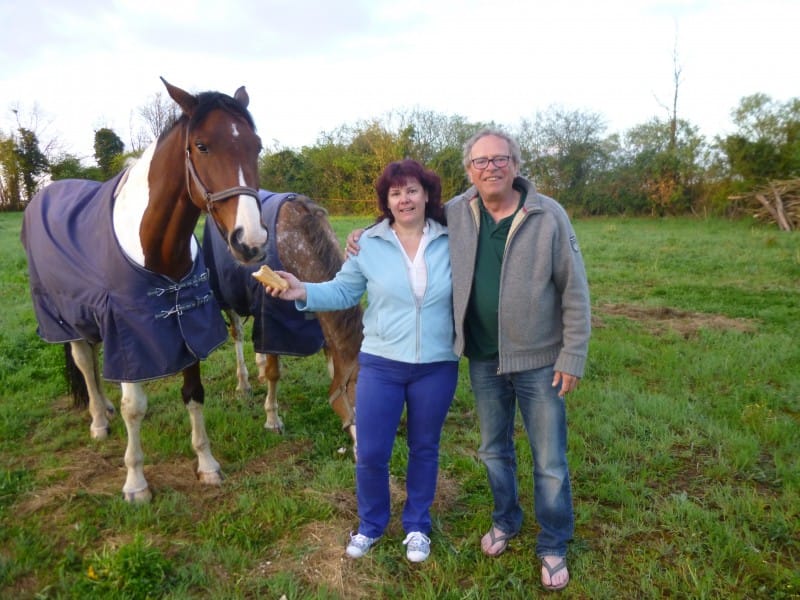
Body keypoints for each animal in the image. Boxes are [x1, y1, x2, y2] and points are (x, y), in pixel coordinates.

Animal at [18, 78, 268, 502]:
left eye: (257, 146)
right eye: (202, 145)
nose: (250, 241)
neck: (157, 251)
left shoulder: (187, 326)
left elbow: (194, 392)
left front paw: (207, 465)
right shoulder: (128, 332)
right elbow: (134, 406)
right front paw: (135, 483)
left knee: (94, 365)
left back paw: (104, 410)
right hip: (66, 319)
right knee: (85, 363)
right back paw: (99, 421)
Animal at [203, 192, 362, 450]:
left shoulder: (322, 331)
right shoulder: (274, 325)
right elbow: (274, 373)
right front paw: (272, 420)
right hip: (228, 297)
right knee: (238, 334)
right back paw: (243, 384)